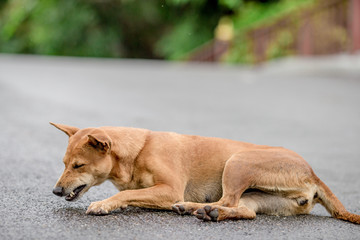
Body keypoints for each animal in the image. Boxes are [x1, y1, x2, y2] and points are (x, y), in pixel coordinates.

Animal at [51, 123, 360, 224]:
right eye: (63, 163)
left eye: (78, 166)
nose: (55, 191)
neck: (138, 150)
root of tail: (313, 173)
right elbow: (130, 192)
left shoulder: (170, 189)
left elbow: (126, 194)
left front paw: (103, 204)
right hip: (256, 196)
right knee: (243, 211)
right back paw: (205, 211)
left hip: (238, 161)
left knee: (227, 201)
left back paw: (193, 208)